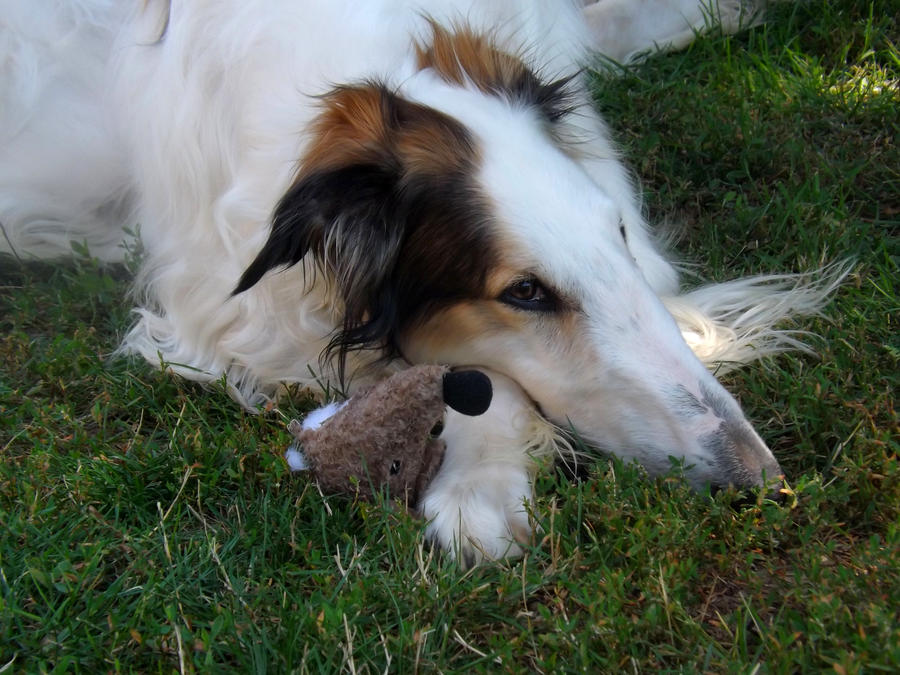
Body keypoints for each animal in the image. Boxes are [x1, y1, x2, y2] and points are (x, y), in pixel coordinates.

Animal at [1, 1, 844, 564]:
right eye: (524, 293)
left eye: (619, 237)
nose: (759, 477)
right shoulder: (234, 319)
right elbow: (465, 376)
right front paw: (482, 490)